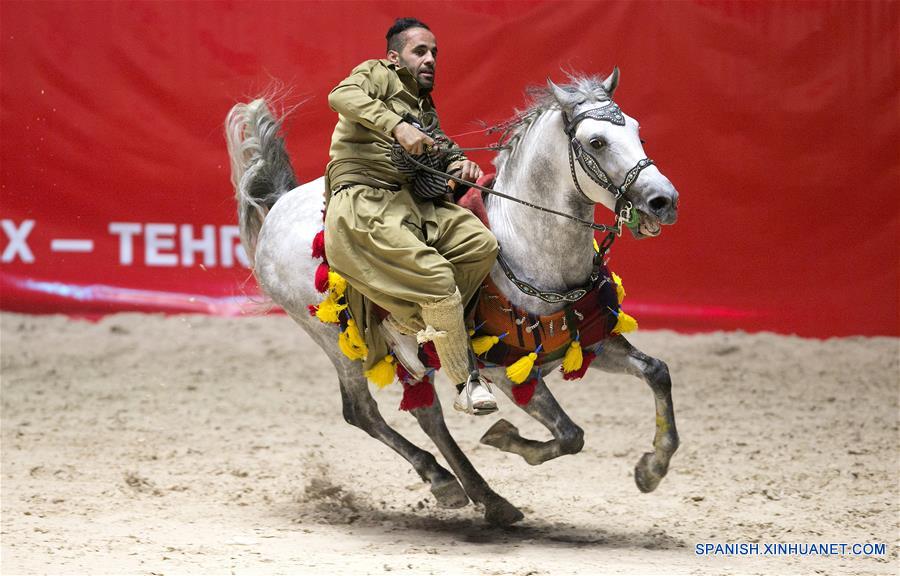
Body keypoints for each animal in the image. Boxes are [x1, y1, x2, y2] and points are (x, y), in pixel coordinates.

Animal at [225, 69, 679, 526]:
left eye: (638, 131)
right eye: (596, 142)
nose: (663, 200)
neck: (528, 248)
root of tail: (280, 204)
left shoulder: (591, 343)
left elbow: (657, 372)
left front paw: (652, 468)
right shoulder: (510, 375)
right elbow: (570, 435)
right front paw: (504, 437)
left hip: (403, 352)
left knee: (428, 415)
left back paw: (480, 494)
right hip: (336, 341)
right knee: (362, 412)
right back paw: (446, 480)